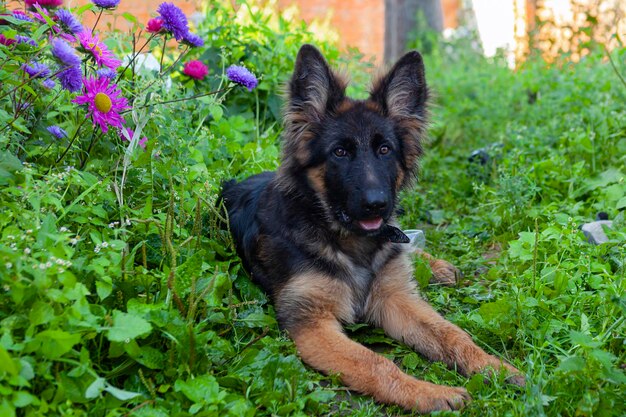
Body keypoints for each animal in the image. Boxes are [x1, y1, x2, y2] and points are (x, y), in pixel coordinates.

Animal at [222, 44, 524, 410]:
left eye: (384, 150)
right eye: (339, 152)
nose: (377, 204)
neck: (344, 239)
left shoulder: (396, 298)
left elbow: (453, 334)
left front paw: (496, 368)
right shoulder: (312, 323)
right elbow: (376, 363)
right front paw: (431, 393)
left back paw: (437, 266)